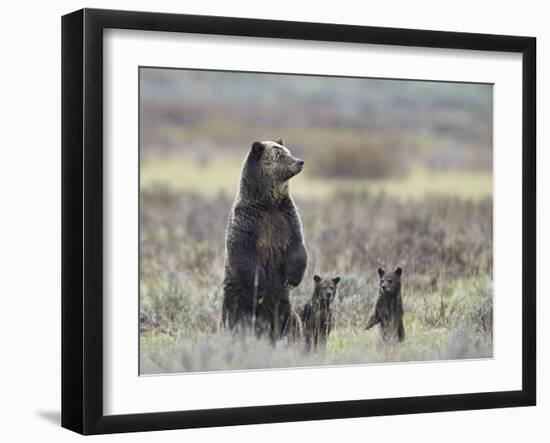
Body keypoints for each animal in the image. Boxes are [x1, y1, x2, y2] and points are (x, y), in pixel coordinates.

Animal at [222, 140, 308, 342]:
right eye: (279, 155)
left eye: (288, 151)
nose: (300, 162)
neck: (269, 204)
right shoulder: (248, 222)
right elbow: (243, 254)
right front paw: (259, 286)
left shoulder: (287, 218)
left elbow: (297, 247)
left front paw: (292, 279)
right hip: (237, 299)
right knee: (235, 319)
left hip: (283, 305)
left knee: (291, 321)